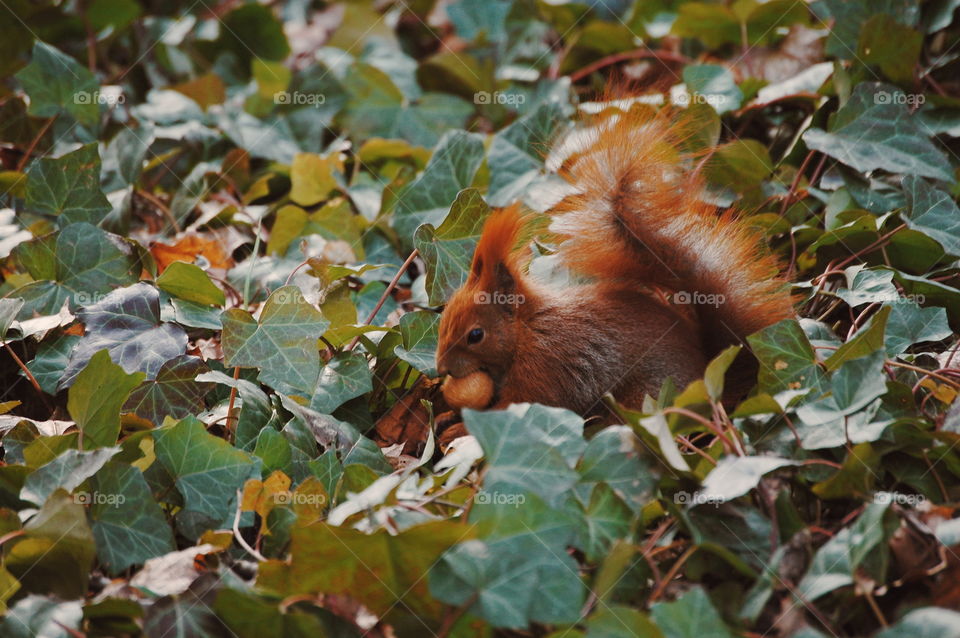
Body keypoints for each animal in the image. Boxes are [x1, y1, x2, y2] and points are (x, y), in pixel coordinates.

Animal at [436, 105, 794, 419]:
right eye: (444, 318)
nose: (440, 369)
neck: (527, 327)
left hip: (645, 400)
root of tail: (711, 374)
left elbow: (524, 403)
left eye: (476, 335)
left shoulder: (547, 362)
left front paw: (457, 428)